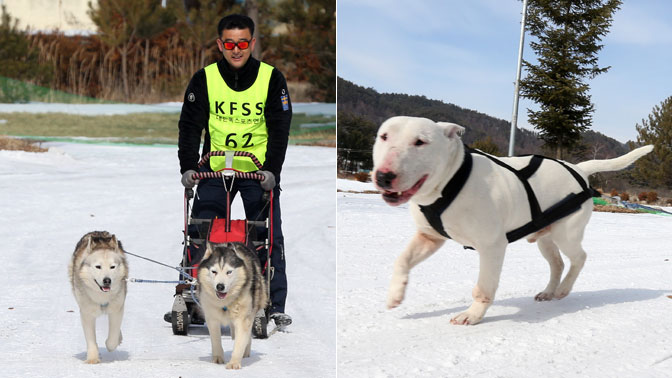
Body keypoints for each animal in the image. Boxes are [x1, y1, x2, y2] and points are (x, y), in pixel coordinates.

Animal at [69, 230, 129, 364]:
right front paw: (92, 358)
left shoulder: (117, 309)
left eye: (112, 267)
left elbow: (113, 337)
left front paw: (111, 344)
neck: (102, 296)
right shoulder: (87, 313)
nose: (107, 280)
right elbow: (90, 339)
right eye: (98, 266)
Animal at [197, 242, 268, 370]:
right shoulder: (212, 318)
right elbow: (215, 339)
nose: (220, 286)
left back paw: (246, 351)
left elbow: (240, 342)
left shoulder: (242, 319)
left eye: (229, 272)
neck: (225, 303)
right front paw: (218, 358)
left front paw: (234, 362)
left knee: (247, 335)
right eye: (214, 271)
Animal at [370, 115, 652, 324]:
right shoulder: (429, 237)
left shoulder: (491, 246)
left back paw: (563, 289)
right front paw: (396, 293)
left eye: (421, 142)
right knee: (557, 264)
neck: (450, 181)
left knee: (579, 258)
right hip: (546, 238)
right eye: (384, 136)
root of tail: (578, 169)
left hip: (566, 234)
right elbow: (402, 260)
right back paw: (549, 291)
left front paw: (473, 315)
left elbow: (484, 287)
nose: (383, 176)